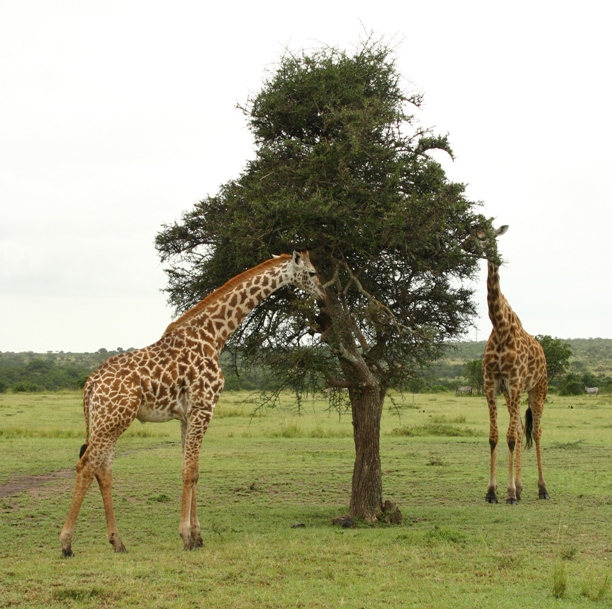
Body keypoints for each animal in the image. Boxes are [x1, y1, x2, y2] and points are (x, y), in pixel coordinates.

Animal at [59, 248, 322, 556]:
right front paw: (186, 536)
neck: (213, 337)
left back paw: (118, 542)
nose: (323, 294)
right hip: (114, 419)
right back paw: (66, 543)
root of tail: (91, 384)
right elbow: (189, 471)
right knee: (86, 465)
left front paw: (197, 536)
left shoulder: (187, 415)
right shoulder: (203, 408)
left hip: (107, 420)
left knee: (104, 469)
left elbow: (193, 471)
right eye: (312, 272)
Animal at [474, 224, 548, 504]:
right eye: (474, 231)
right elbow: (495, 437)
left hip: (537, 389)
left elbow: (511, 437)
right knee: (518, 428)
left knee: (535, 432)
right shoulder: (492, 384)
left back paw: (542, 488)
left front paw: (510, 494)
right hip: (510, 394)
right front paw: (493, 491)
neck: (500, 325)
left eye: (491, 233)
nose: (472, 244)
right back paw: (519, 486)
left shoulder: (515, 382)